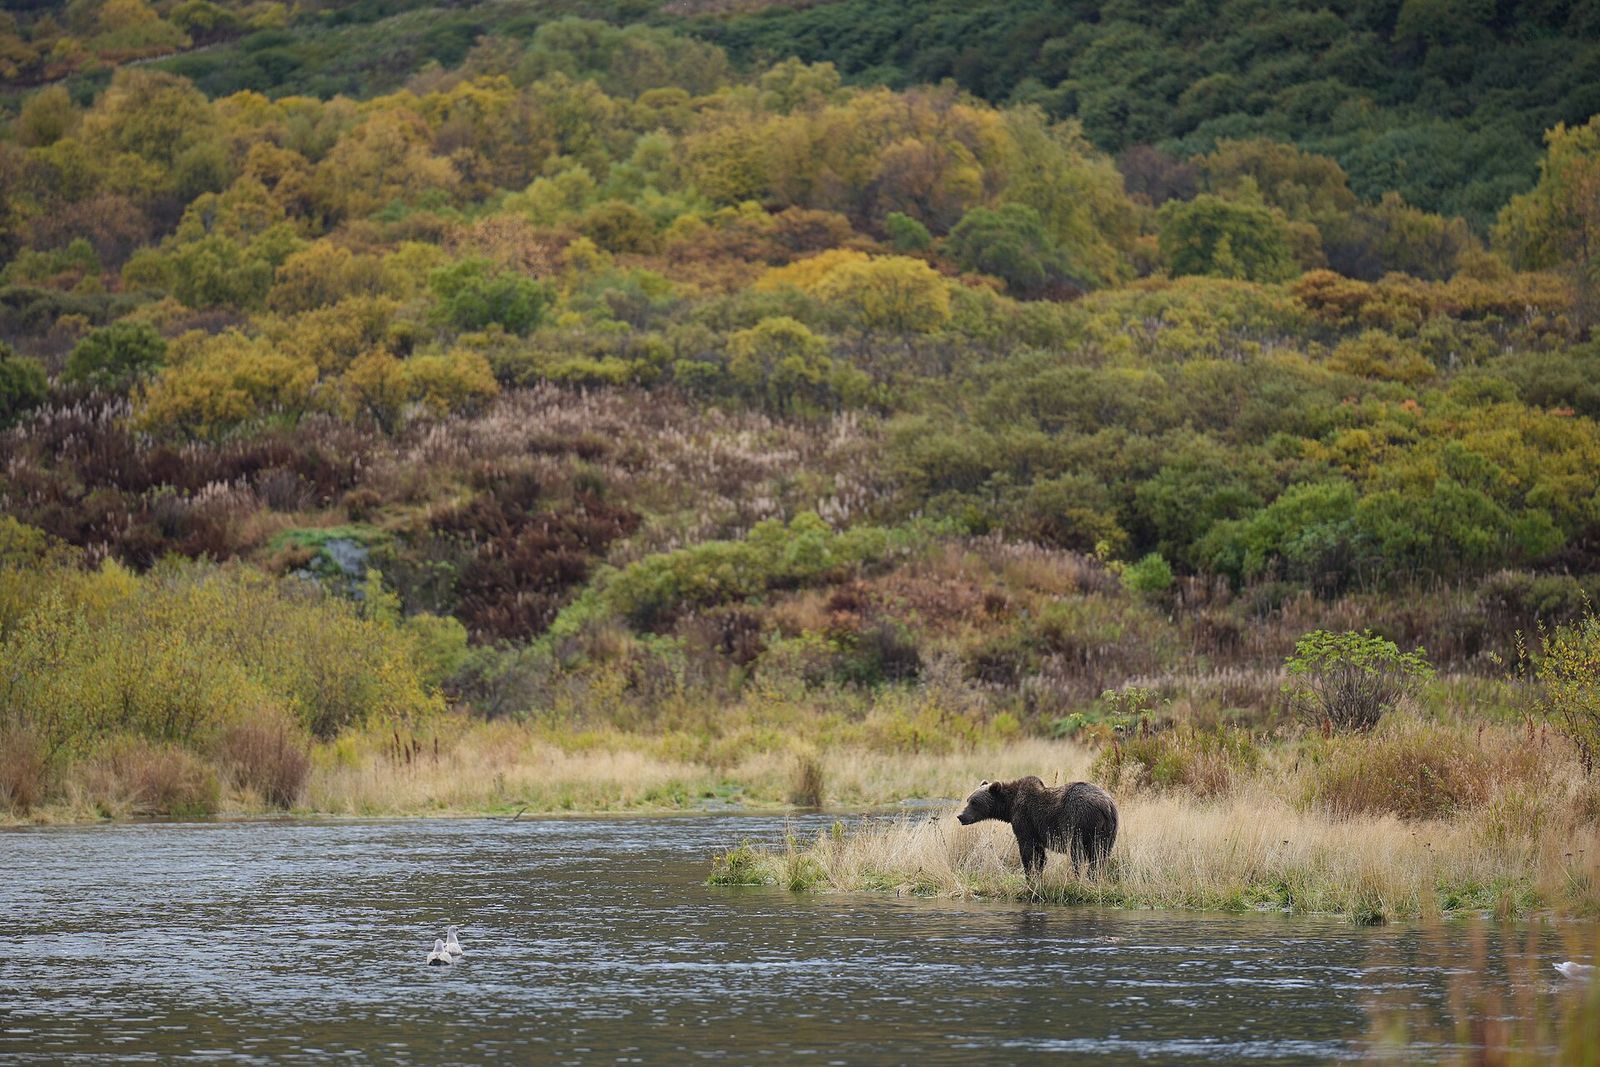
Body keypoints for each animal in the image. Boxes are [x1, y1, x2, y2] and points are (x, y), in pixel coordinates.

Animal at [956, 777, 1118, 878]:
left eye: (975, 802)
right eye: (968, 799)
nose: (961, 816)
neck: (1009, 806)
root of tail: (1107, 805)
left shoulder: (1025, 820)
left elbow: (1027, 851)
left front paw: (1029, 877)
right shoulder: (1036, 832)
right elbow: (1040, 856)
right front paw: (1038, 875)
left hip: (1080, 822)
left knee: (1078, 853)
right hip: (1109, 830)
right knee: (1101, 855)